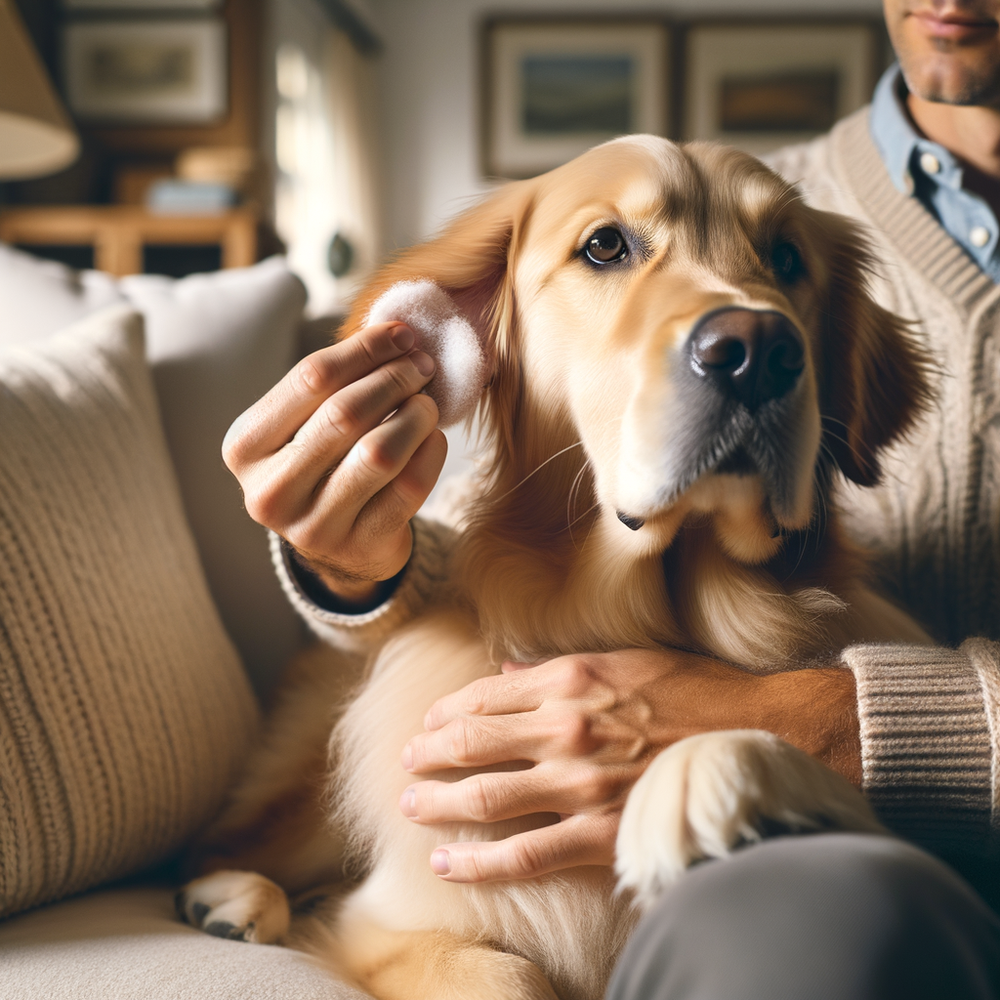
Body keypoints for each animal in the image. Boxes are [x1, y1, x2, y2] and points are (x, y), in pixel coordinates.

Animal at [178, 135, 928, 1000]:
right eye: (604, 246)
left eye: (786, 257)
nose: (758, 353)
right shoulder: (388, 922)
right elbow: (509, 979)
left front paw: (695, 780)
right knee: (223, 845)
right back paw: (230, 898)